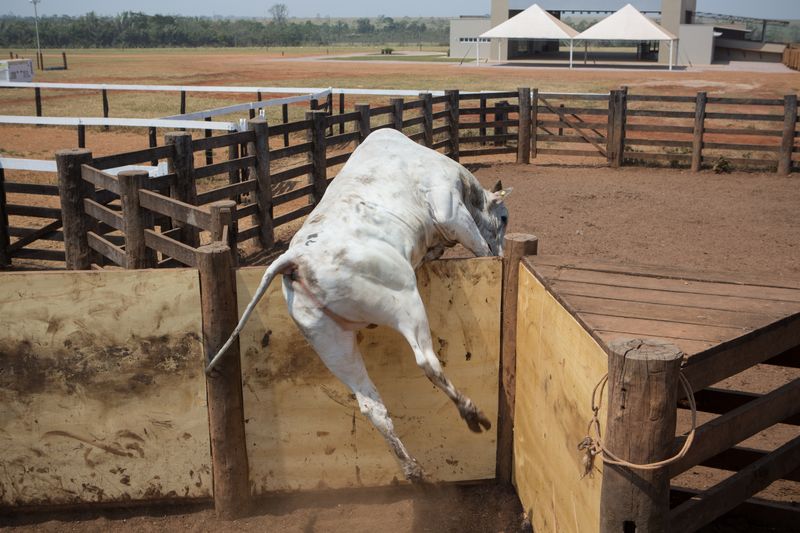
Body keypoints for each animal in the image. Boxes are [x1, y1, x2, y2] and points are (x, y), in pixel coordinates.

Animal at [206, 128, 511, 481]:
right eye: (503, 218)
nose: (503, 252)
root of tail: (295, 258)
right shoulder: (448, 206)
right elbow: (474, 241)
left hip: (330, 341)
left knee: (370, 404)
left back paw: (412, 467)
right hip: (404, 301)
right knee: (426, 361)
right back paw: (471, 413)